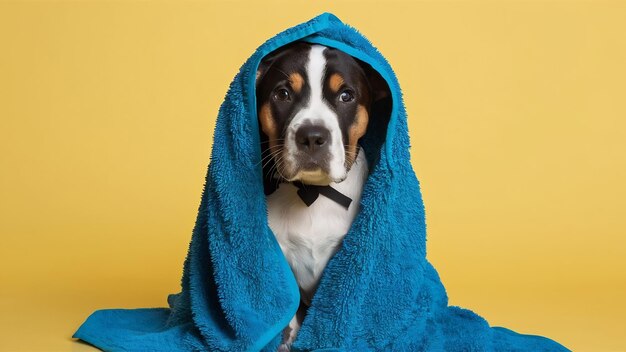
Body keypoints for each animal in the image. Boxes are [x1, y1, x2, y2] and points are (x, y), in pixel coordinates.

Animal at [254, 41, 386, 350]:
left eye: (346, 95)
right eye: (283, 94)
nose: (312, 136)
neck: (314, 193)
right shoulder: (277, 252)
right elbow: (289, 306)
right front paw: (287, 340)